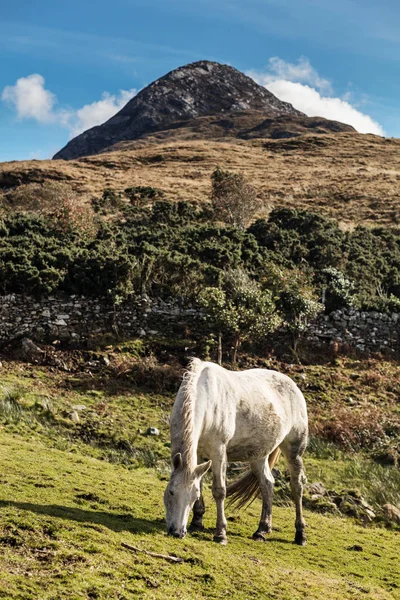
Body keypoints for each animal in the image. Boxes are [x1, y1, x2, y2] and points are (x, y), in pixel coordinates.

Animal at [164, 358, 308, 548]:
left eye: (192, 497)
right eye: (171, 492)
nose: (177, 532)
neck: (207, 398)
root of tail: (294, 386)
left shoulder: (218, 452)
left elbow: (219, 491)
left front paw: (221, 534)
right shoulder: (199, 454)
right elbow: (201, 483)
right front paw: (197, 522)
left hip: (293, 451)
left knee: (296, 486)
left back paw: (300, 534)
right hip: (259, 456)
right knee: (267, 484)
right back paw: (262, 530)